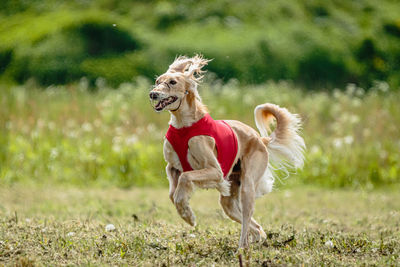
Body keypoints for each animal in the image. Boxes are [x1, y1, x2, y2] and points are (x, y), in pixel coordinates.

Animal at [148, 55, 304, 250]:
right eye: (157, 81)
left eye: (172, 82)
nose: (153, 94)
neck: (183, 125)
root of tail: (260, 139)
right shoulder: (172, 167)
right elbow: (172, 193)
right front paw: (186, 212)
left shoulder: (215, 171)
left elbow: (185, 178)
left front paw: (188, 216)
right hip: (229, 199)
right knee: (254, 225)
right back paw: (256, 238)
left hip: (247, 185)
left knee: (246, 218)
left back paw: (241, 247)